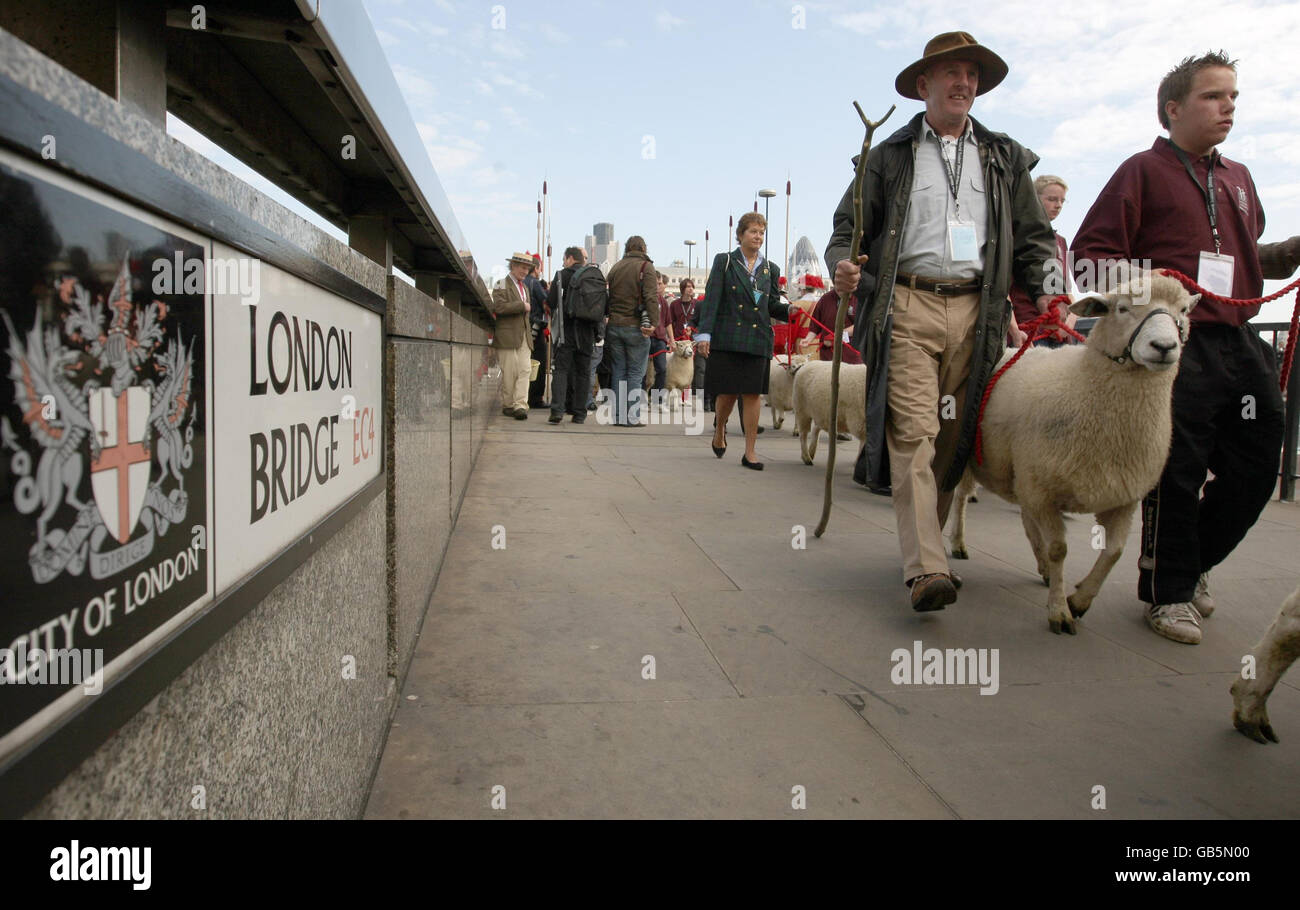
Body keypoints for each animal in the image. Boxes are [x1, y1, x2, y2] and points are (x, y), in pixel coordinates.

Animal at [946, 274, 1196, 637]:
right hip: (985, 464)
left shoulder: (1123, 498)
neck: (1082, 384)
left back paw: (1044, 570)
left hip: (1025, 475)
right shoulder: (1044, 490)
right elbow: (1059, 549)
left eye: (1183, 311)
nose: (1163, 347)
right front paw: (1059, 612)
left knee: (1025, 519)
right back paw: (959, 543)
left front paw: (1078, 600)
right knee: (962, 499)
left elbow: (1115, 552)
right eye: (1122, 308)